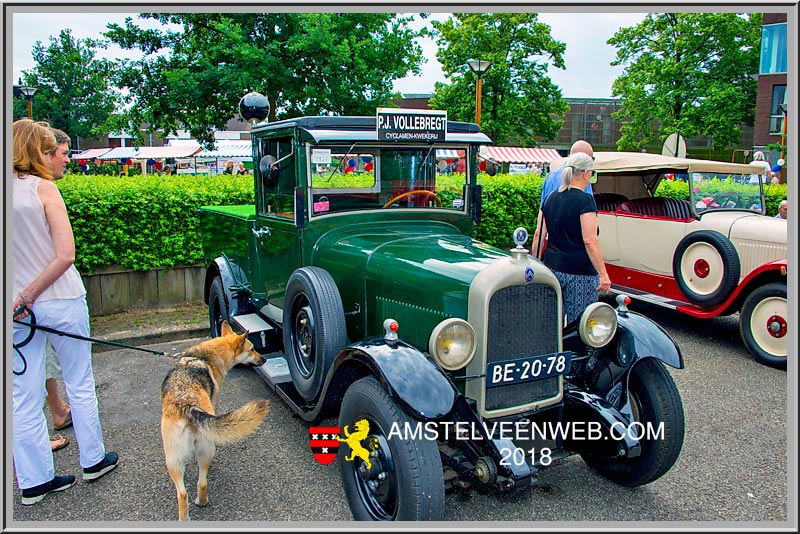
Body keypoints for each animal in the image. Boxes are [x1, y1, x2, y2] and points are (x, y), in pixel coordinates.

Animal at [161, 322, 270, 524]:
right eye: (252, 349)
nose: (265, 359)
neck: (207, 355)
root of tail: (188, 406)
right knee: (198, 484)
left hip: (177, 459)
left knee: (188, 490)